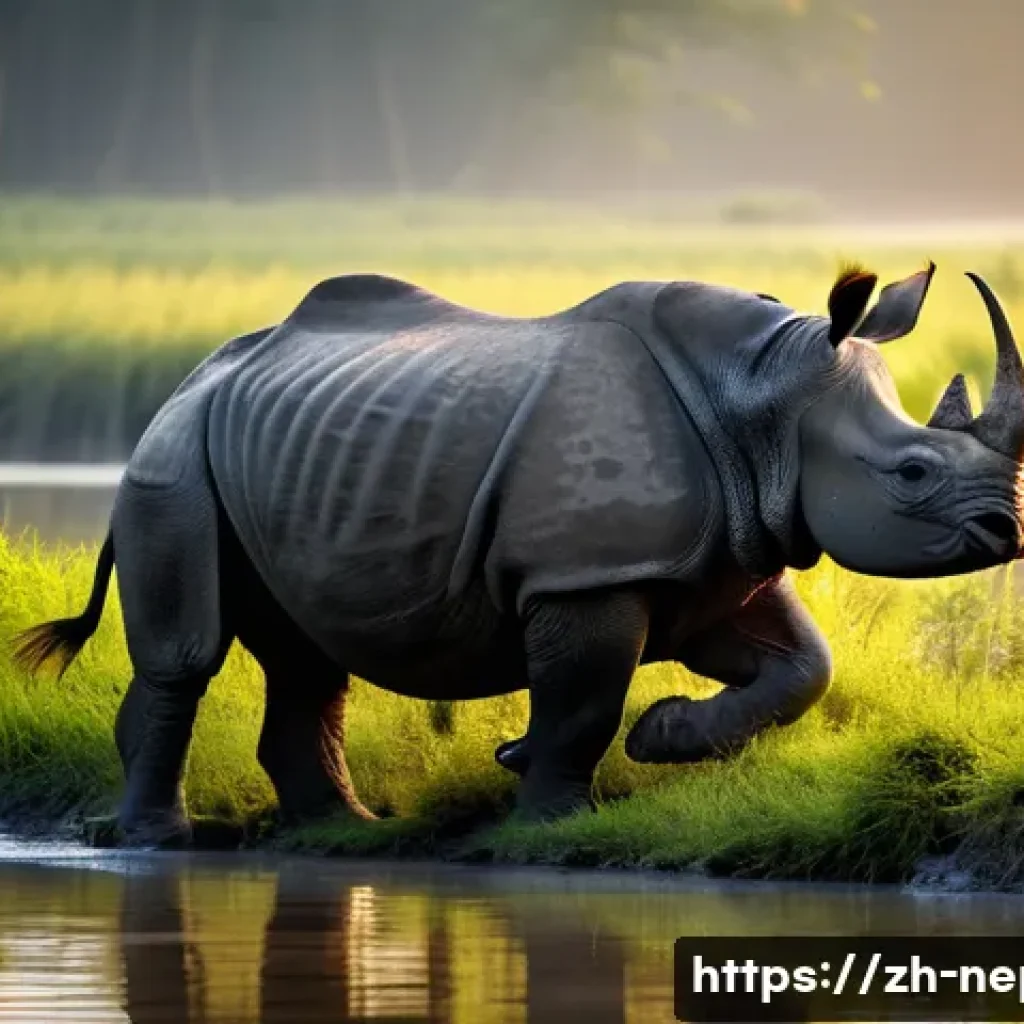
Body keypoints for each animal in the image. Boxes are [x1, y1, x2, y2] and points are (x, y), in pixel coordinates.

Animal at [15, 264, 1024, 844]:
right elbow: (582, 699)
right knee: (189, 654)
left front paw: (656, 737)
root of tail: (191, 380)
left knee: (305, 655)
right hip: (173, 455)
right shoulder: (588, 575)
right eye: (913, 471)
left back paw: (342, 828)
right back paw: (159, 842)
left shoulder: (724, 558)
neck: (765, 401)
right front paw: (551, 817)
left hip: (270, 448)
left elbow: (802, 668)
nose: (1007, 530)